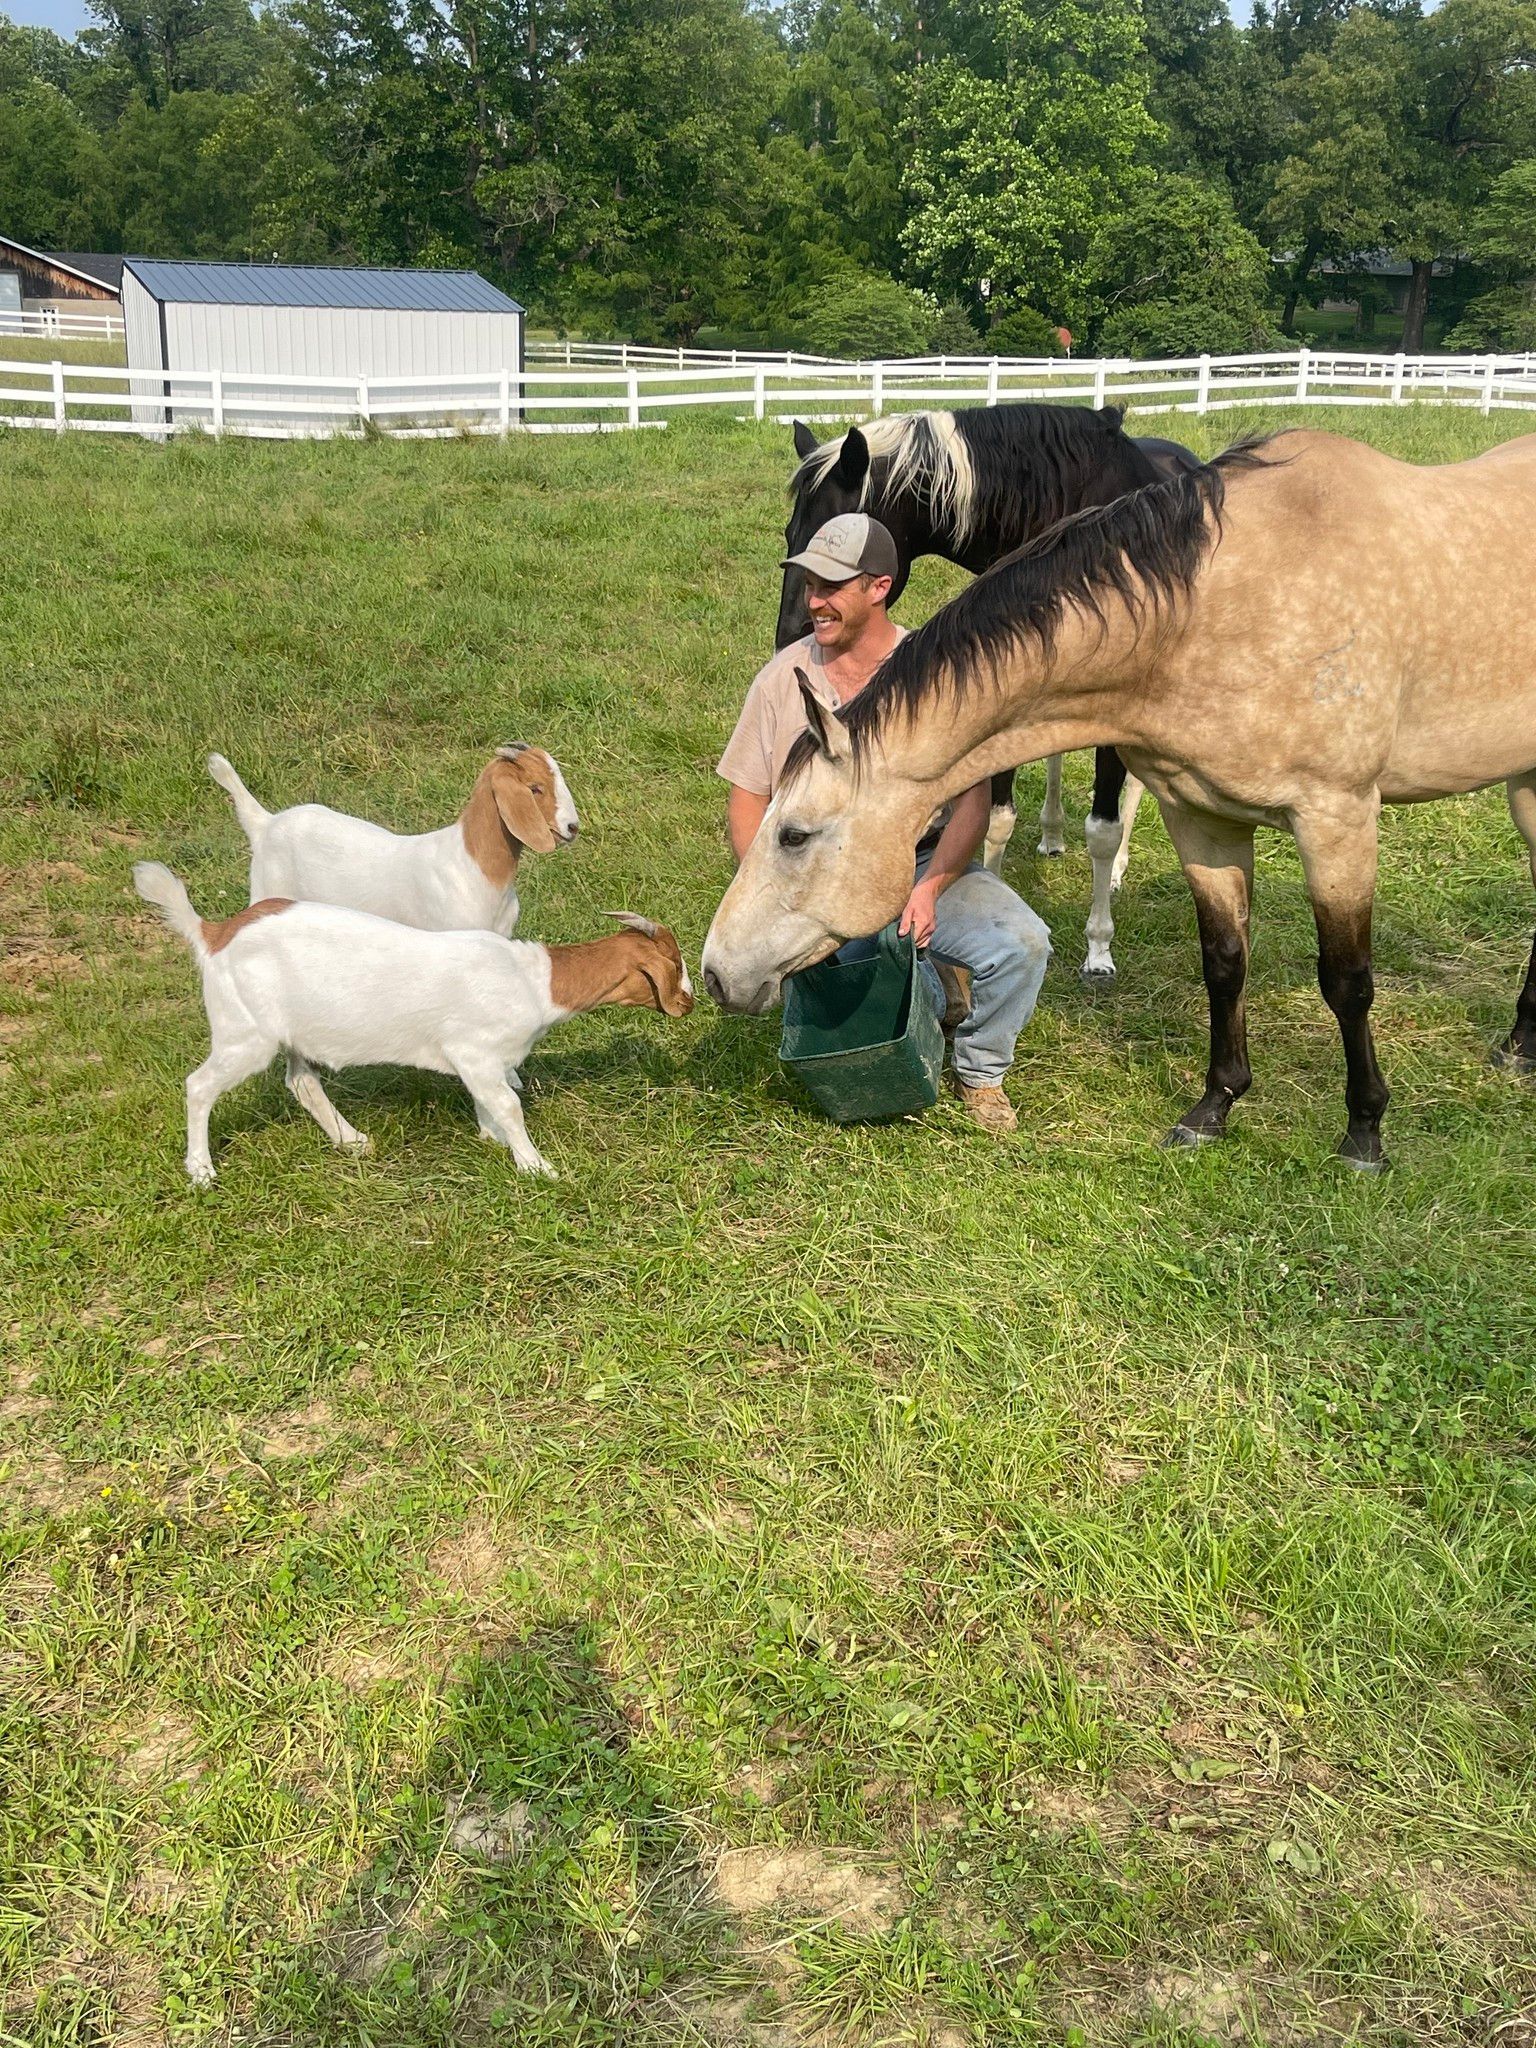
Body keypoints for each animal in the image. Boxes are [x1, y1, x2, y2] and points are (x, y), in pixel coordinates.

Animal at [134, 863, 692, 1184]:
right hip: (244, 1032)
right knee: (199, 1085)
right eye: (674, 963)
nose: (688, 1003)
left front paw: (492, 1140)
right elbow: (508, 1106)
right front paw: (538, 1168)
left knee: (301, 1082)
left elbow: (489, 1102)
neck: (535, 979)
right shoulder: (475, 1050)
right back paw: (202, 1171)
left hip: (288, 1033)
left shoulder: (480, 1064)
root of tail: (213, 933)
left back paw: (350, 1141)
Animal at [779, 405, 1200, 976]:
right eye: (788, 535)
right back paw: (1052, 833)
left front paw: (1098, 947)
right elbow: (998, 818)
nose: (790, 637)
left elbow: (1103, 829)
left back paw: (1115, 870)